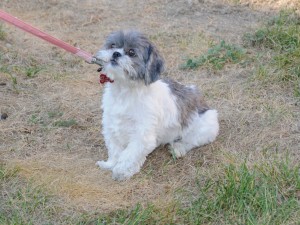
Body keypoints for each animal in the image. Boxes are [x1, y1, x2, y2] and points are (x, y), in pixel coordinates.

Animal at [93, 30, 218, 181]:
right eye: (112, 46)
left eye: (131, 52)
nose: (116, 53)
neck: (124, 91)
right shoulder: (111, 126)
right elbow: (115, 149)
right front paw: (110, 164)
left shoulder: (142, 136)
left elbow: (130, 154)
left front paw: (121, 171)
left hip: (206, 126)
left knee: (192, 140)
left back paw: (178, 148)